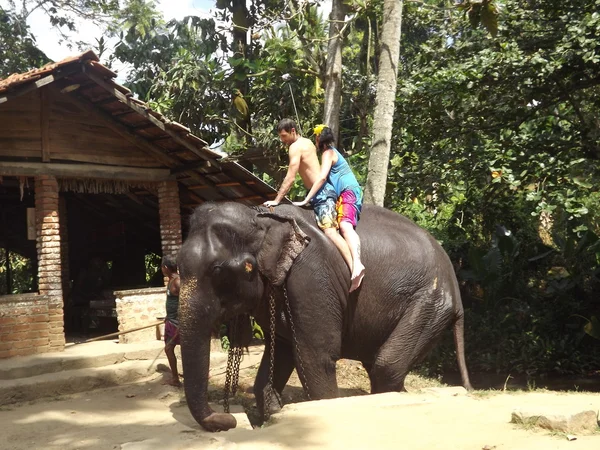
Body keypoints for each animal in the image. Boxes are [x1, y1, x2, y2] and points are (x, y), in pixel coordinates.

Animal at [178, 201, 474, 432]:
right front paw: (274, 415)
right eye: (173, 265)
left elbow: (316, 358)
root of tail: (454, 282)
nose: (228, 419)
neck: (261, 217)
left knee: (386, 365)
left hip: (429, 302)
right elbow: (280, 354)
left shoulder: (311, 278)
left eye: (219, 271)